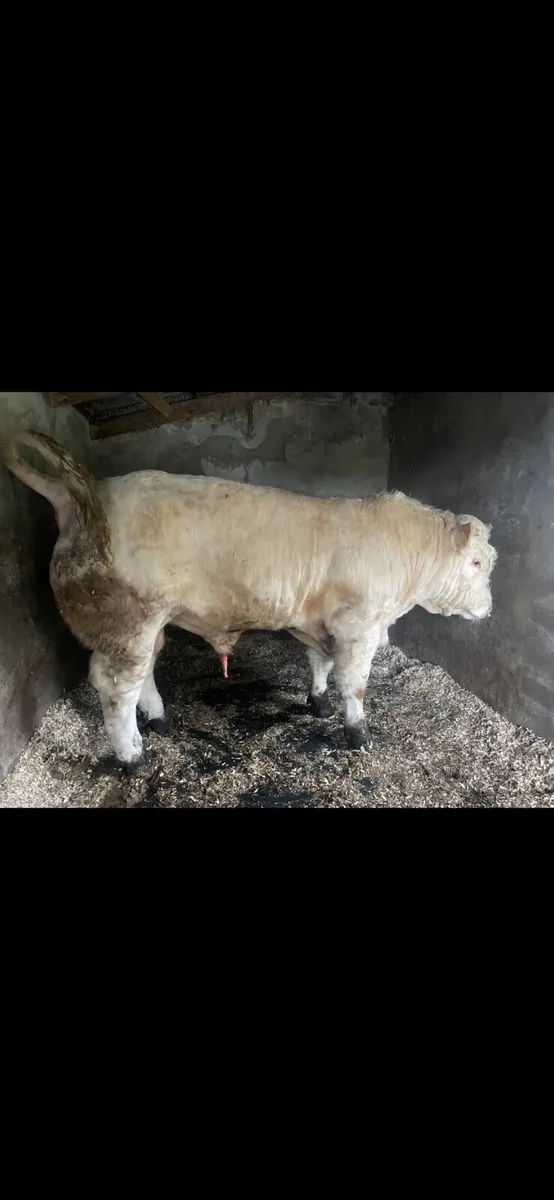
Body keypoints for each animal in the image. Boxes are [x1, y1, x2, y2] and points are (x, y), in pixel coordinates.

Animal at [0, 430, 497, 766]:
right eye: (477, 562)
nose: (489, 608)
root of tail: (84, 495)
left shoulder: (320, 622)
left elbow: (321, 663)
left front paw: (317, 702)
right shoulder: (359, 625)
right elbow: (353, 682)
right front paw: (358, 732)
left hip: (148, 625)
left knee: (144, 675)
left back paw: (159, 720)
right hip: (126, 622)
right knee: (116, 688)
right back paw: (133, 755)